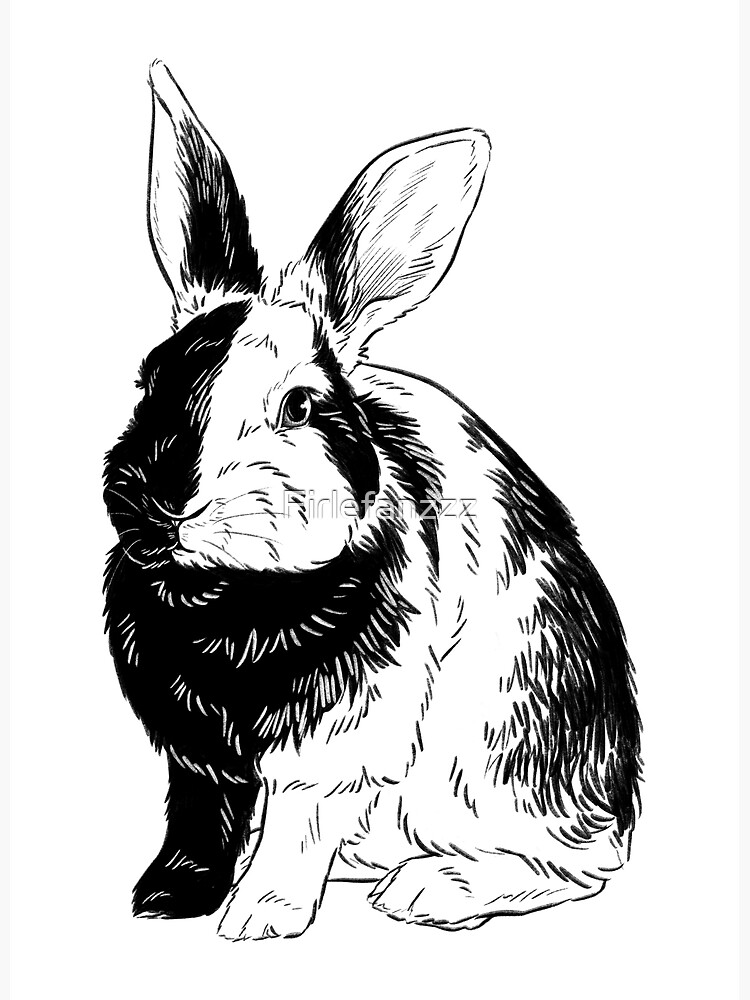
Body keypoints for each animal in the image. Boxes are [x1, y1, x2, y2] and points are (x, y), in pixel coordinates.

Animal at [103, 60, 642, 938]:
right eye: (150, 376)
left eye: (300, 406)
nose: (165, 501)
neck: (231, 596)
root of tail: (617, 801)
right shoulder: (199, 754)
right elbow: (200, 815)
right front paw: (167, 898)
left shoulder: (337, 741)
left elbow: (298, 819)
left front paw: (260, 919)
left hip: (490, 756)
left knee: (575, 867)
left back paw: (429, 890)